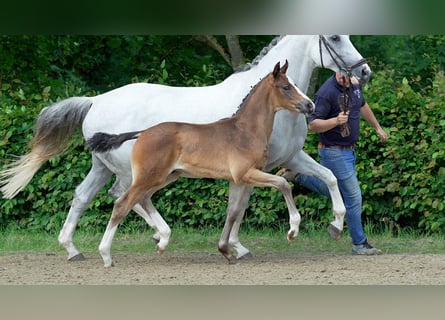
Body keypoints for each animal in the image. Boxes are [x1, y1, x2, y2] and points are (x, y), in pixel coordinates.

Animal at [87, 61, 312, 266]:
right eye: (286, 87)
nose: (310, 105)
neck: (245, 131)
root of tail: (141, 133)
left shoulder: (238, 179)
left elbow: (233, 212)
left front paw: (226, 252)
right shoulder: (246, 173)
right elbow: (283, 184)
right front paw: (293, 230)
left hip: (166, 176)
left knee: (143, 199)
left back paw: (162, 240)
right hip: (149, 177)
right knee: (122, 204)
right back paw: (107, 255)